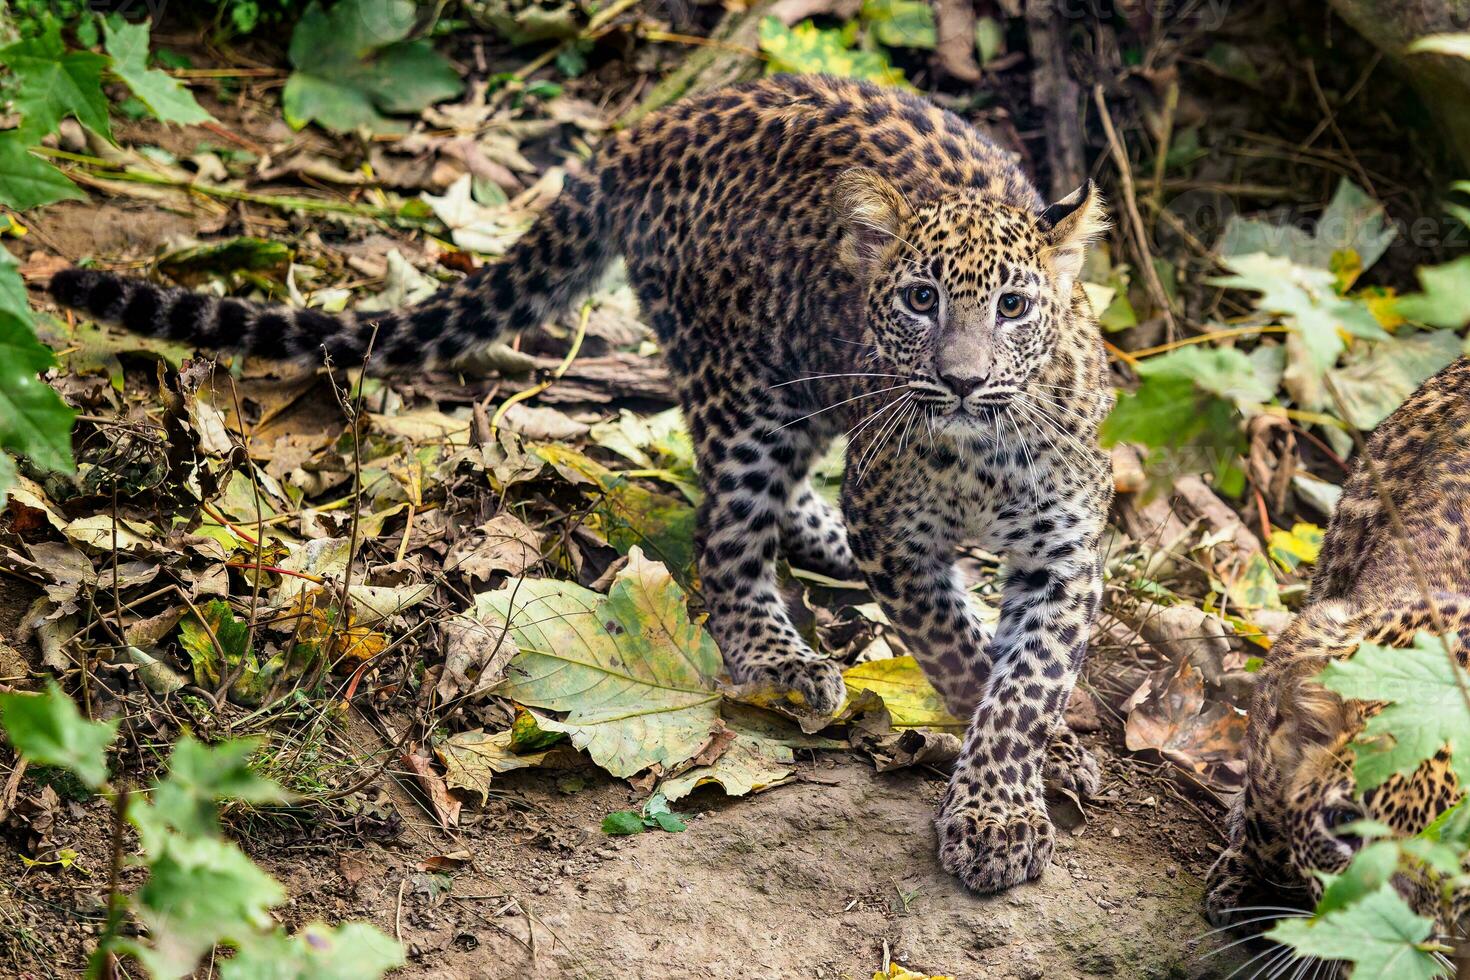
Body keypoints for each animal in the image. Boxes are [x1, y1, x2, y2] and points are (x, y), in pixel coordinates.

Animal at [54, 72, 1111, 893]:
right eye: (920, 299)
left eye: (1015, 307)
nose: (962, 380)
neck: (981, 452)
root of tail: (652, 126)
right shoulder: (900, 535)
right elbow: (967, 658)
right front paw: (1007, 804)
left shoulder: (1066, 551)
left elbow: (1025, 681)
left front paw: (1017, 785)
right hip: (747, 384)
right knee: (727, 546)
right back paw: (785, 661)